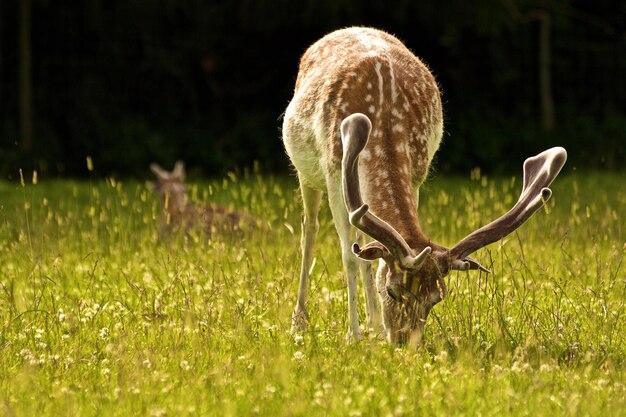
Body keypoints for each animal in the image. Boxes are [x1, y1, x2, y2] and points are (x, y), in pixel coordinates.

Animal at [280, 26, 564, 344]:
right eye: (392, 291)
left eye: (437, 298)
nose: (406, 342)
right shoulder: (333, 173)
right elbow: (348, 257)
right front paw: (352, 336)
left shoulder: (417, 173)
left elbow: (370, 252)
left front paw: (373, 329)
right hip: (307, 173)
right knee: (310, 229)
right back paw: (300, 322)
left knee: (364, 246)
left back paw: (374, 324)